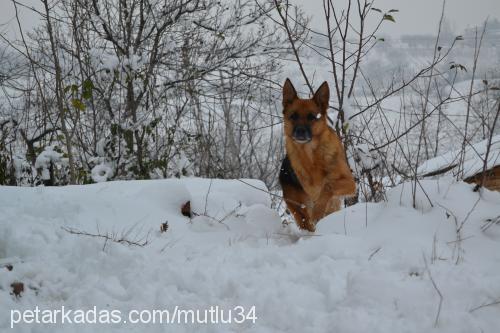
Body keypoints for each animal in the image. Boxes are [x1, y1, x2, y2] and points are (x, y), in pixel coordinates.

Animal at [280, 79, 358, 232]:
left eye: (311, 117)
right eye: (293, 116)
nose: (300, 131)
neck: (312, 155)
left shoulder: (350, 183)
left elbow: (327, 185)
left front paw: (318, 210)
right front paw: (317, 212)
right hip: (295, 204)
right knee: (304, 219)